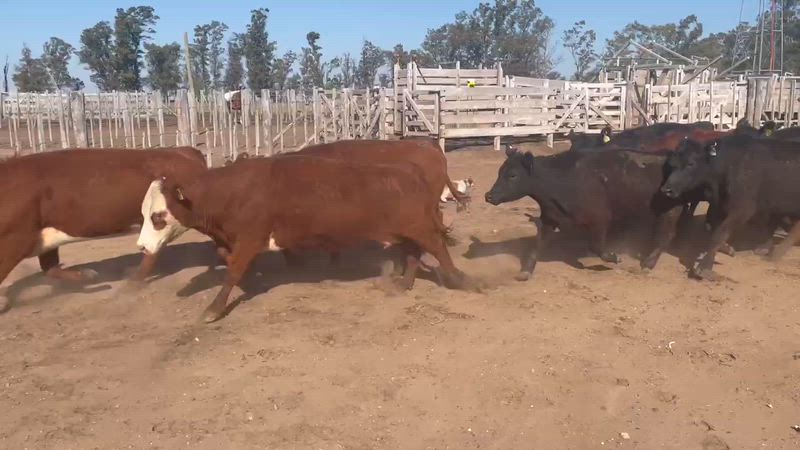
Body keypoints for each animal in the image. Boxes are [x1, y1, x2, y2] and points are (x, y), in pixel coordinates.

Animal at [137, 155, 481, 323]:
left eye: (158, 216)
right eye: (144, 213)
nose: (142, 247)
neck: (233, 192)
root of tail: (411, 170)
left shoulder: (250, 238)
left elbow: (232, 270)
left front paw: (214, 308)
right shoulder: (232, 240)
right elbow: (228, 261)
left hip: (419, 226)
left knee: (436, 248)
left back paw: (461, 280)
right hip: (405, 230)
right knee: (413, 252)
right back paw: (404, 283)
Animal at [484, 146, 697, 281]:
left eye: (512, 175)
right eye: (499, 172)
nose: (489, 196)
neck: (560, 179)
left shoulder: (599, 220)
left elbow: (596, 247)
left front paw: (614, 257)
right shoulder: (549, 220)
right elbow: (536, 247)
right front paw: (526, 272)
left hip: (670, 210)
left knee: (665, 235)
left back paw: (647, 264)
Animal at [660, 135, 800, 280]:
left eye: (691, 163)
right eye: (672, 163)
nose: (666, 190)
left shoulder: (742, 210)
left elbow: (719, 234)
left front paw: (705, 267)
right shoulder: (718, 207)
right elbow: (714, 230)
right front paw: (727, 248)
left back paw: (775, 254)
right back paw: (765, 248)